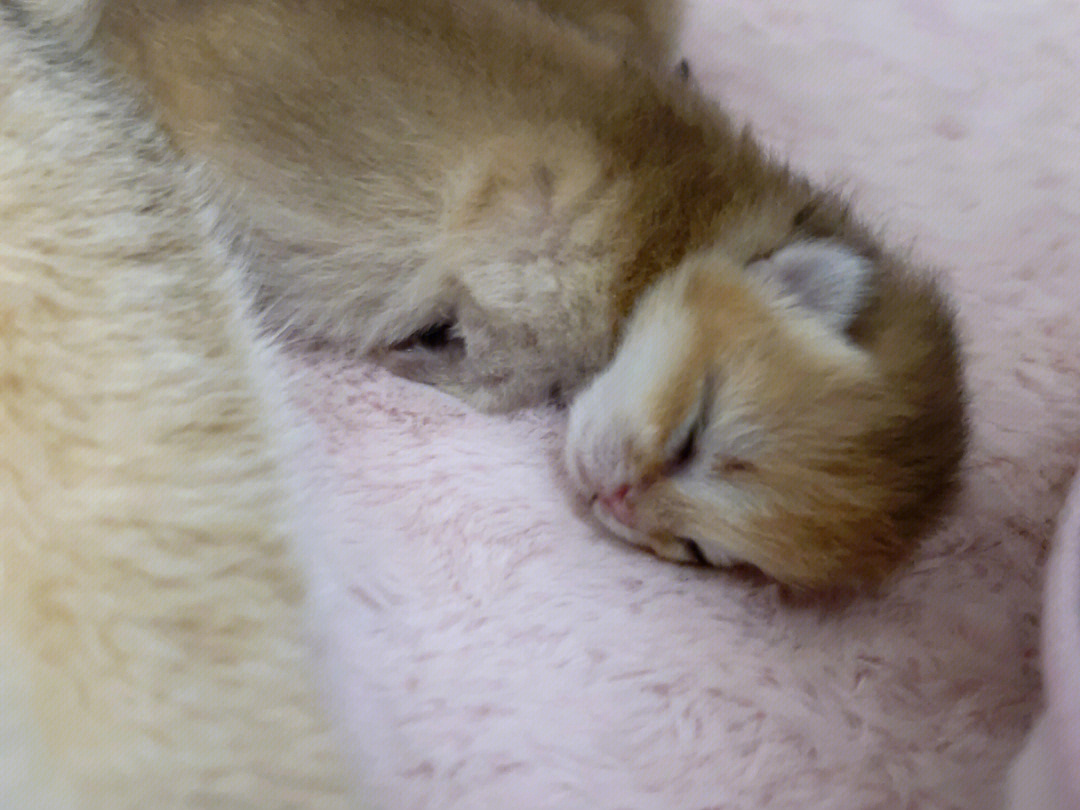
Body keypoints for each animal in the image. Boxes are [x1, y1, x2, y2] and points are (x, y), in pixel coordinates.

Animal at [46, 0, 967, 591]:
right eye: (696, 434)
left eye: (702, 553)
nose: (618, 506)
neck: (690, 223)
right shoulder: (524, 253)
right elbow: (503, 370)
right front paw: (424, 366)